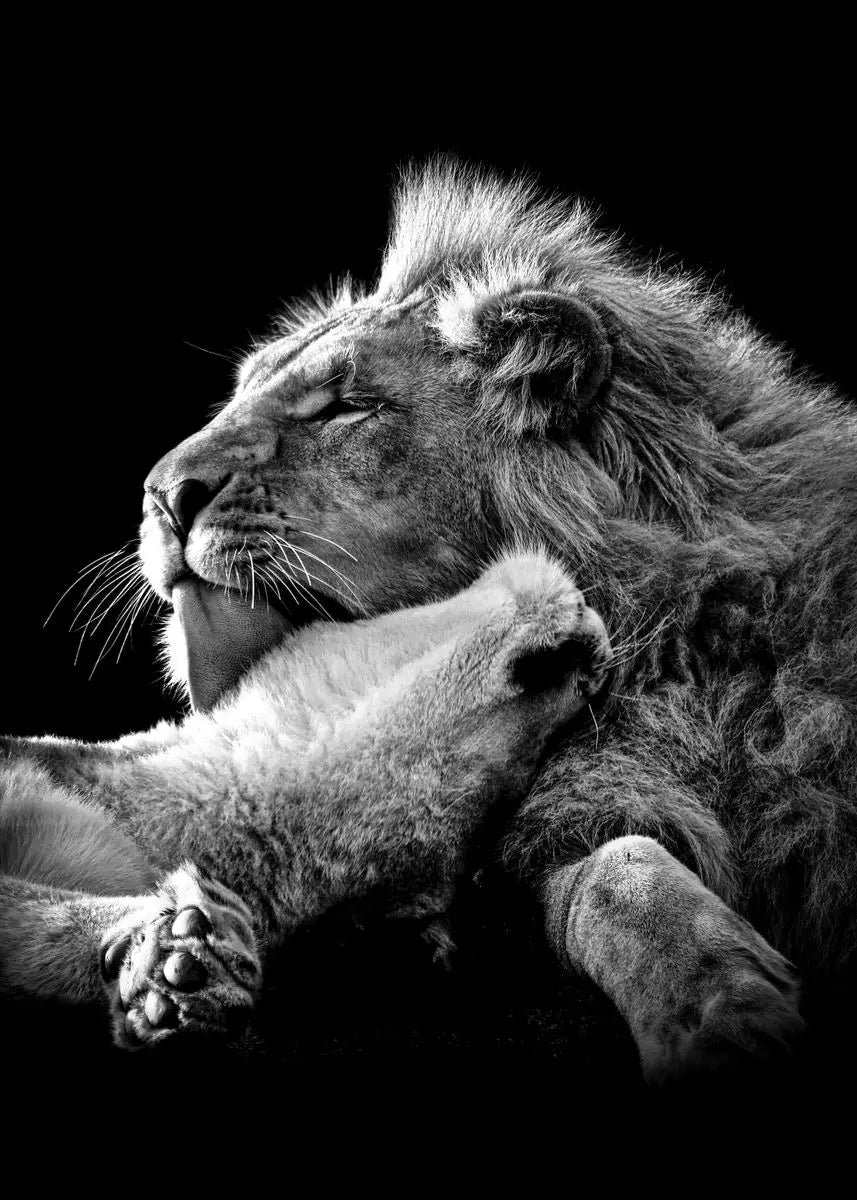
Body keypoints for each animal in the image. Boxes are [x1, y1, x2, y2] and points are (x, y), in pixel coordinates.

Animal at [2, 158, 852, 1083]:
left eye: (345, 407)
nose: (161, 496)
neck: (682, 646)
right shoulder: (505, 881)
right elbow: (610, 872)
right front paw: (718, 1004)